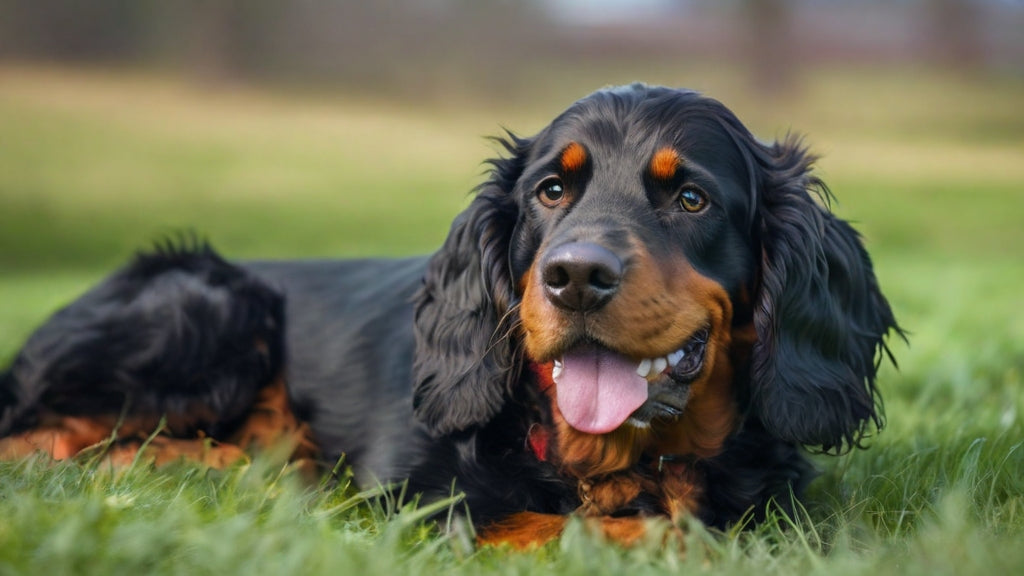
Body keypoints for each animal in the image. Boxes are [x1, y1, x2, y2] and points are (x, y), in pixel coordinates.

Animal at [0, 85, 897, 545]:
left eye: (691, 198)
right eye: (550, 190)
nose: (574, 277)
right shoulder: (413, 504)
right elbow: (574, 527)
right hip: (211, 301)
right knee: (42, 442)